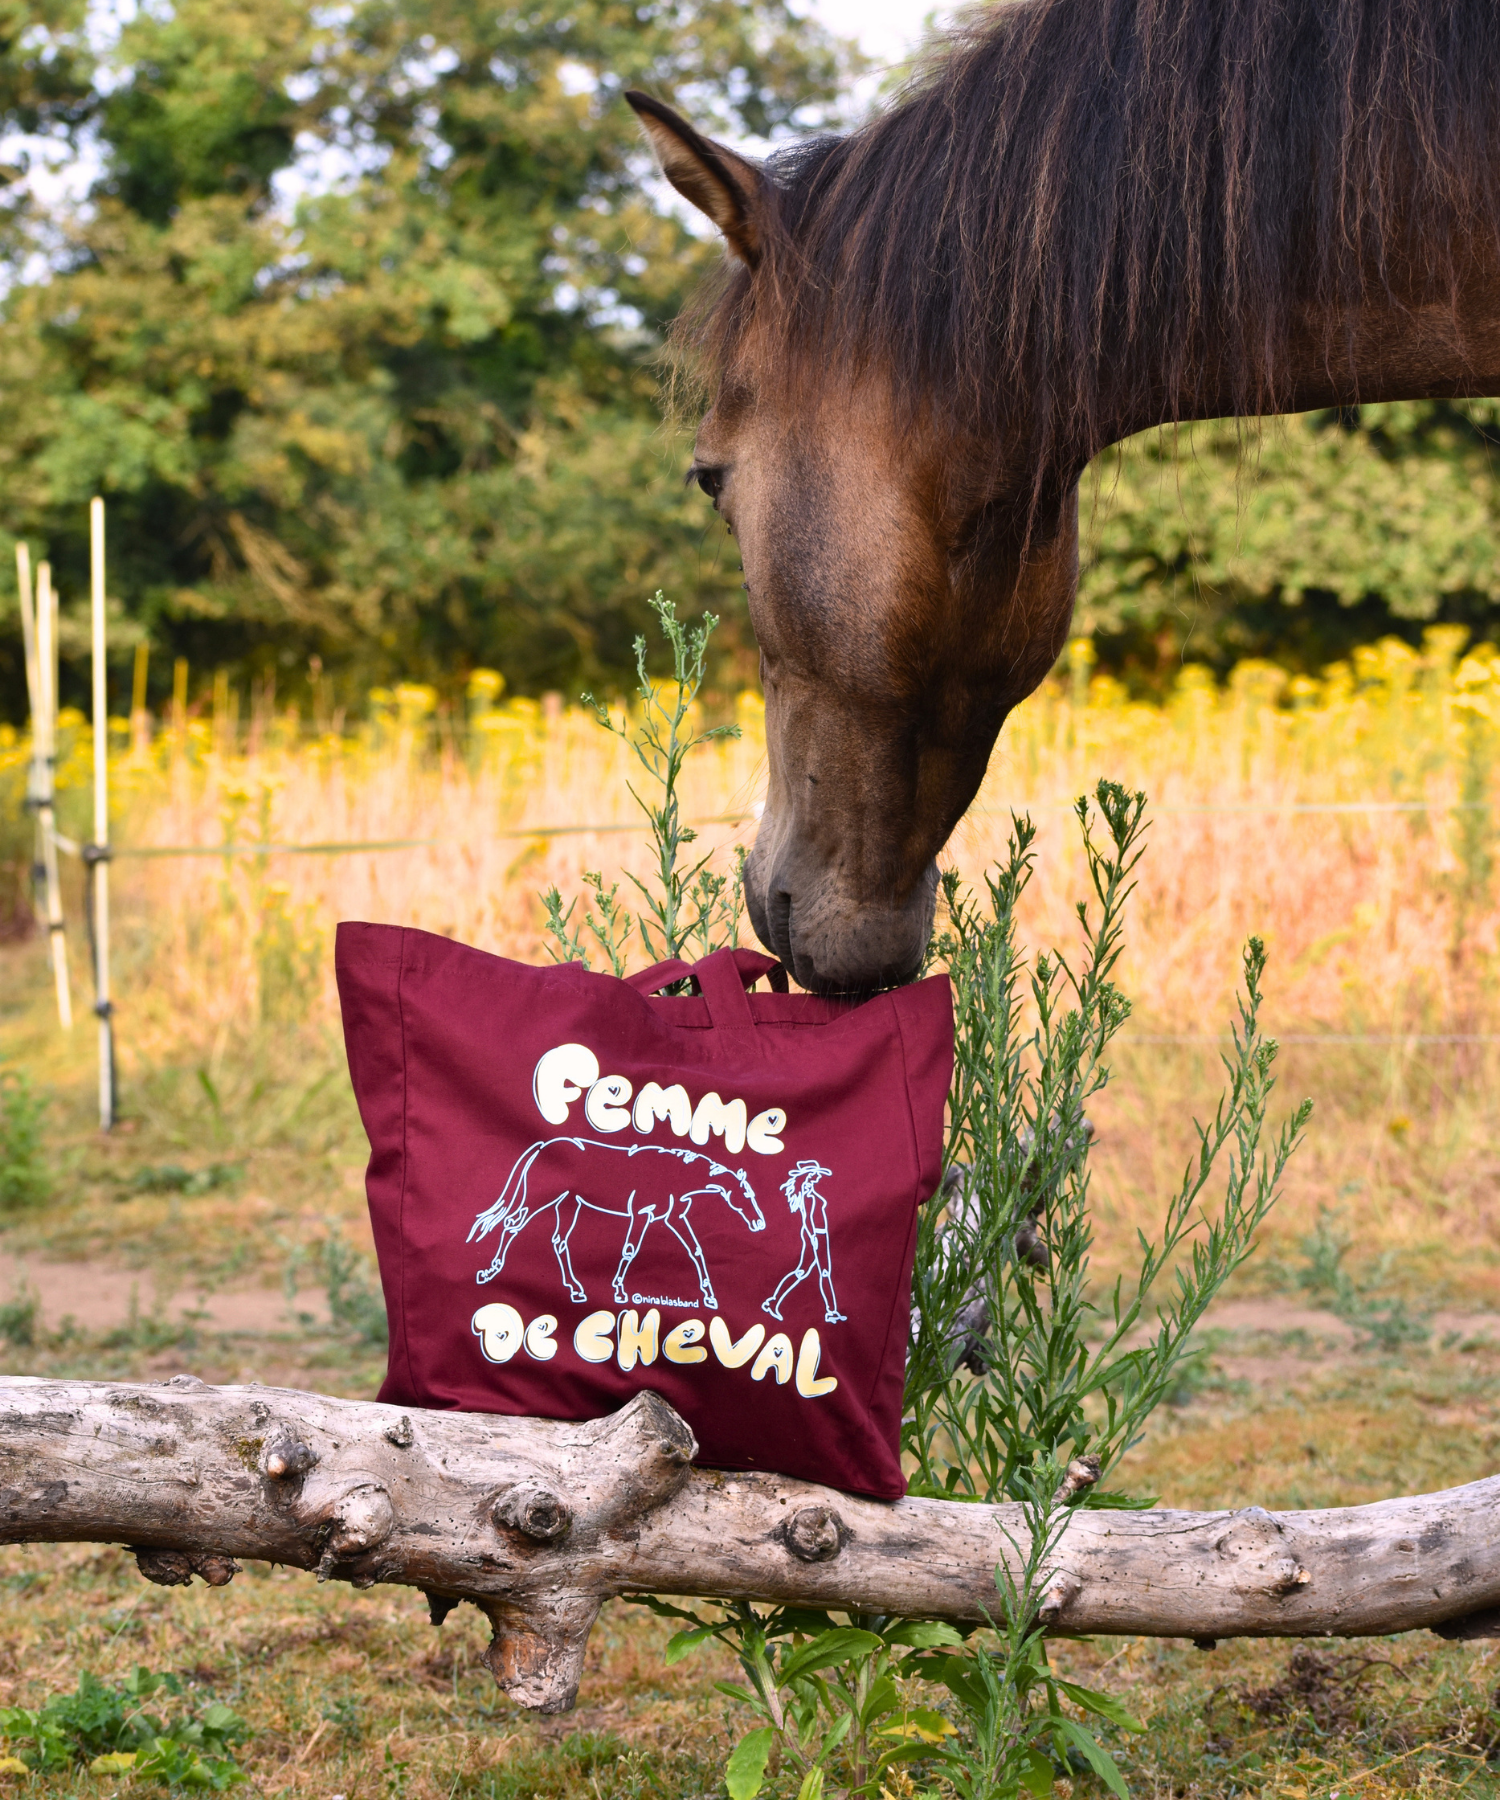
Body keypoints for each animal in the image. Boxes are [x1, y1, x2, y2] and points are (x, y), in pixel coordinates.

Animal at [466, 1137, 765, 1309]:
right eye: (747, 1195)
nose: (760, 1224)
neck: (674, 1177)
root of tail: (541, 1147)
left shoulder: (674, 1218)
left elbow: (696, 1250)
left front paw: (710, 1296)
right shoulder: (642, 1214)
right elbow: (630, 1250)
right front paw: (619, 1292)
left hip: (568, 1203)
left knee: (558, 1241)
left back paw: (575, 1289)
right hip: (540, 1198)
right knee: (512, 1225)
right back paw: (489, 1272)